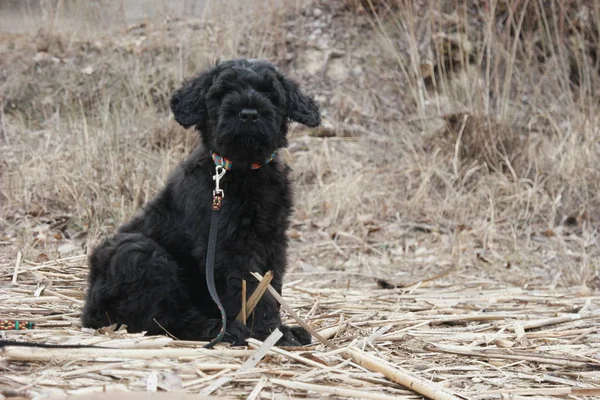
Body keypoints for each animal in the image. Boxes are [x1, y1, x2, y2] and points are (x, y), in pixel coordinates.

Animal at [83, 57, 324, 346]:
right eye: (223, 92)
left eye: (270, 93)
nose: (249, 114)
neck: (242, 170)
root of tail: (88, 312)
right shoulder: (228, 247)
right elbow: (251, 288)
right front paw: (272, 332)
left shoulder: (273, 240)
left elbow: (271, 284)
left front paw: (280, 328)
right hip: (137, 254)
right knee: (164, 315)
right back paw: (220, 330)